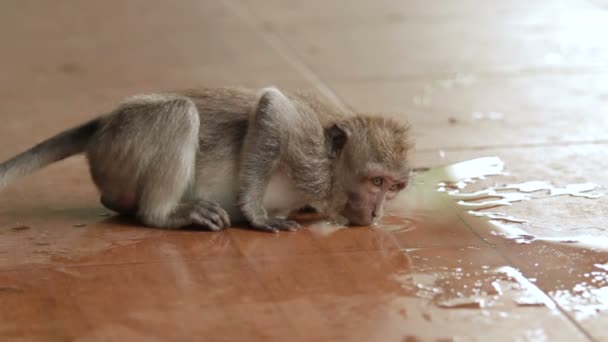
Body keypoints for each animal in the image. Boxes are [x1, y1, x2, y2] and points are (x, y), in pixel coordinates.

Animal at [0, 87, 414, 234]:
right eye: (376, 182)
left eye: (395, 187)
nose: (377, 212)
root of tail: (102, 122)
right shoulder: (310, 156)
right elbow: (272, 108)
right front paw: (257, 216)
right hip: (124, 136)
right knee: (180, 114)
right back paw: (163, 215)